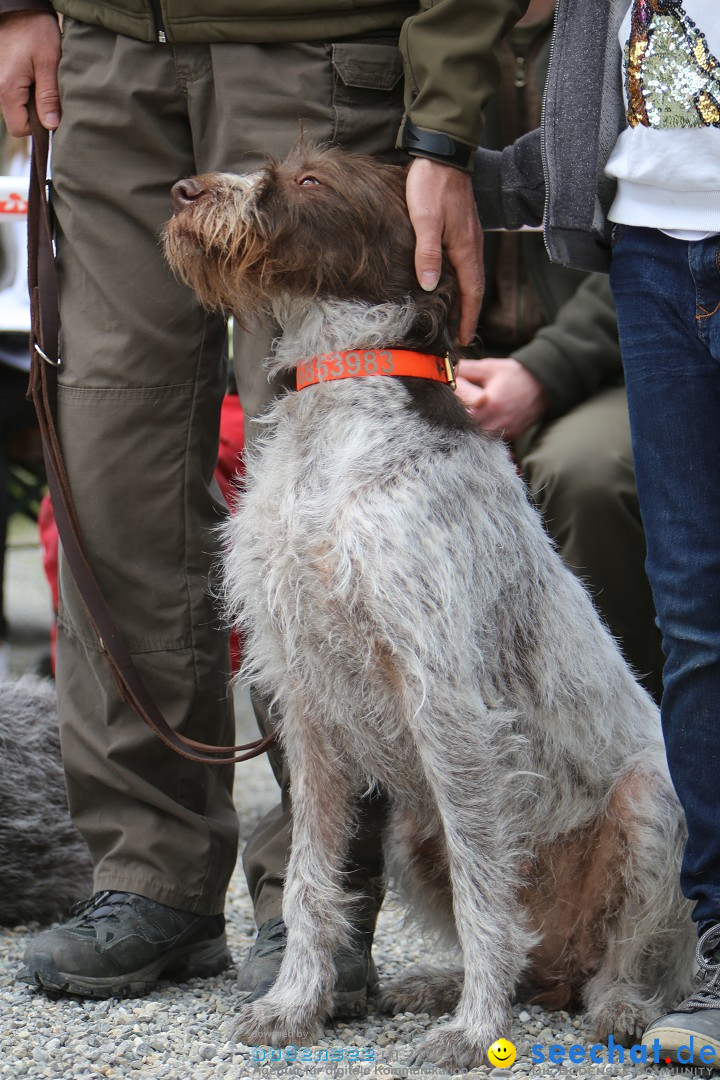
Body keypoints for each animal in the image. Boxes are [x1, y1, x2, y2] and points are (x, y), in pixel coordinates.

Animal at [165, 145, 699, 1071]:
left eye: (311, 181)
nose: (184, 191)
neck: (336, 408)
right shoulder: (306, 706)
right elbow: (311, 882)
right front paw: (295, 1005)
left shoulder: (448, 704)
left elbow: (489, 897)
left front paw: (478, 1032)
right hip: (414, 833)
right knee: (538, 959)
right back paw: (443, 983)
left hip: (647, 810)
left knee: (627, 958)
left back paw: (617, 1006)